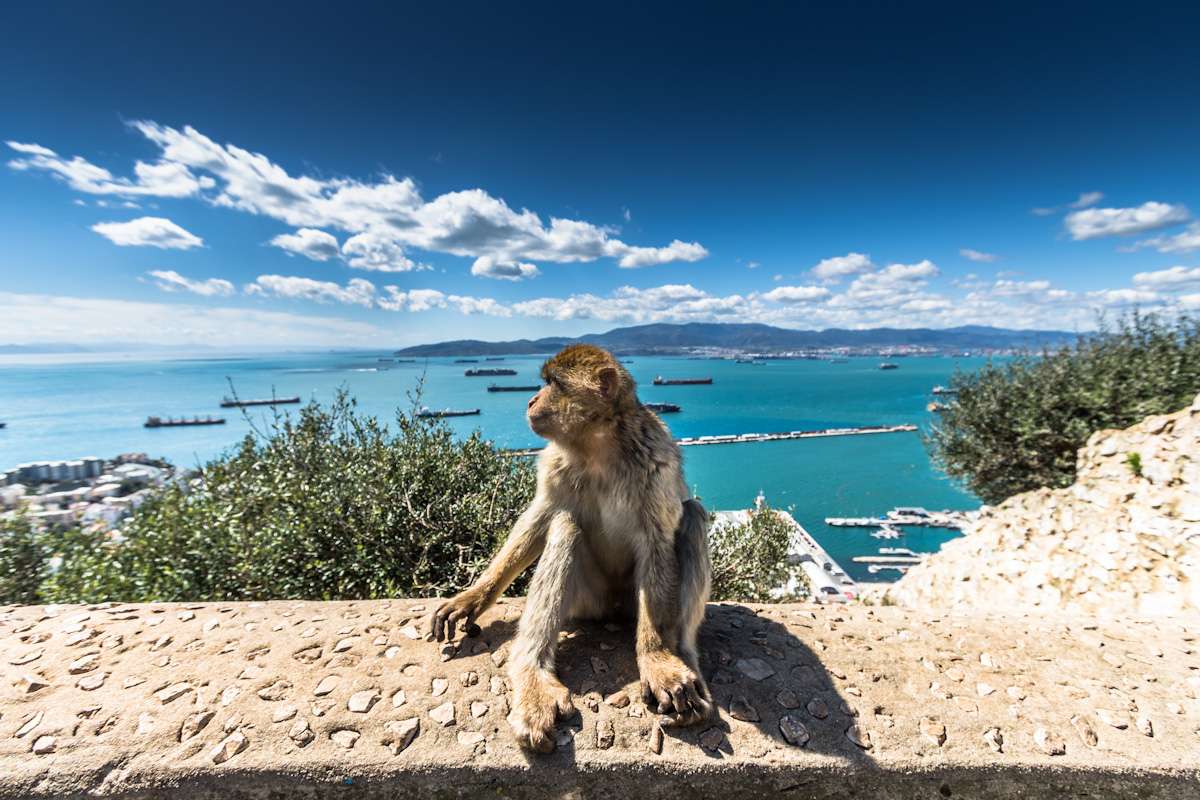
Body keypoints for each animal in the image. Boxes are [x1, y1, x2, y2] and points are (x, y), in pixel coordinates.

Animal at [432, 343, 710, 753]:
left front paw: (658, 659)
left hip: (628, 603)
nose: (530, 400)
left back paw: (686, 655)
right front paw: (475, 596)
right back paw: (533, 676)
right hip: (587, 602)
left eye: (554, 384)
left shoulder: (656, 460)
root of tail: (611, 612)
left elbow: (658, 541)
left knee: (692, 517)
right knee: (566, 527)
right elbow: (540, 520)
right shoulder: (553, 463)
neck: (598, 446)